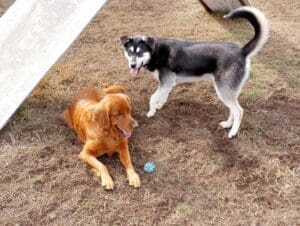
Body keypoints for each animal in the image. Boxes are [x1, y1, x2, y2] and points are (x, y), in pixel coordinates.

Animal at [120, 7, 268, 138]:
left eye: (140, 53)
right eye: (130, 52)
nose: (132, 65)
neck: (155, 52)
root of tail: (242, 51)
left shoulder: (166, 82)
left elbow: (152, 98)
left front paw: (151, 111)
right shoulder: (168, 84)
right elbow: (162, 97)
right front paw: (159, 106)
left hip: (223, 90)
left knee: (239, 111)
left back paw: (232, 132)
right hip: (229, 90)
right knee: (233, 109)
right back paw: (227, 124)